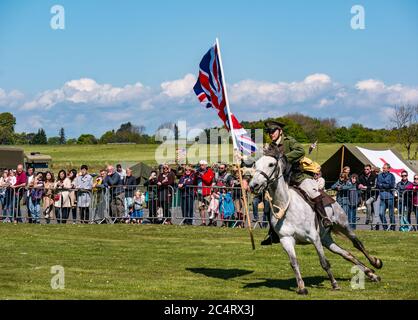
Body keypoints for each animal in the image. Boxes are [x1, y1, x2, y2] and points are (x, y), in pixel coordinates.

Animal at [248, 148, 382, 296]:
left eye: (271, 164)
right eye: (255, 164)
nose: (253, 186)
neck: (286, 207)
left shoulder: (314, 238)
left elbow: (324, 262)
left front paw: (334, 284)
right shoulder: (286, 239)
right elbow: (294, 263)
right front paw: (301, 287)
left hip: (343, 225)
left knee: (357, 244)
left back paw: (375, 263)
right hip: (326, 239)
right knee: (346, 254)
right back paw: (370, 273)